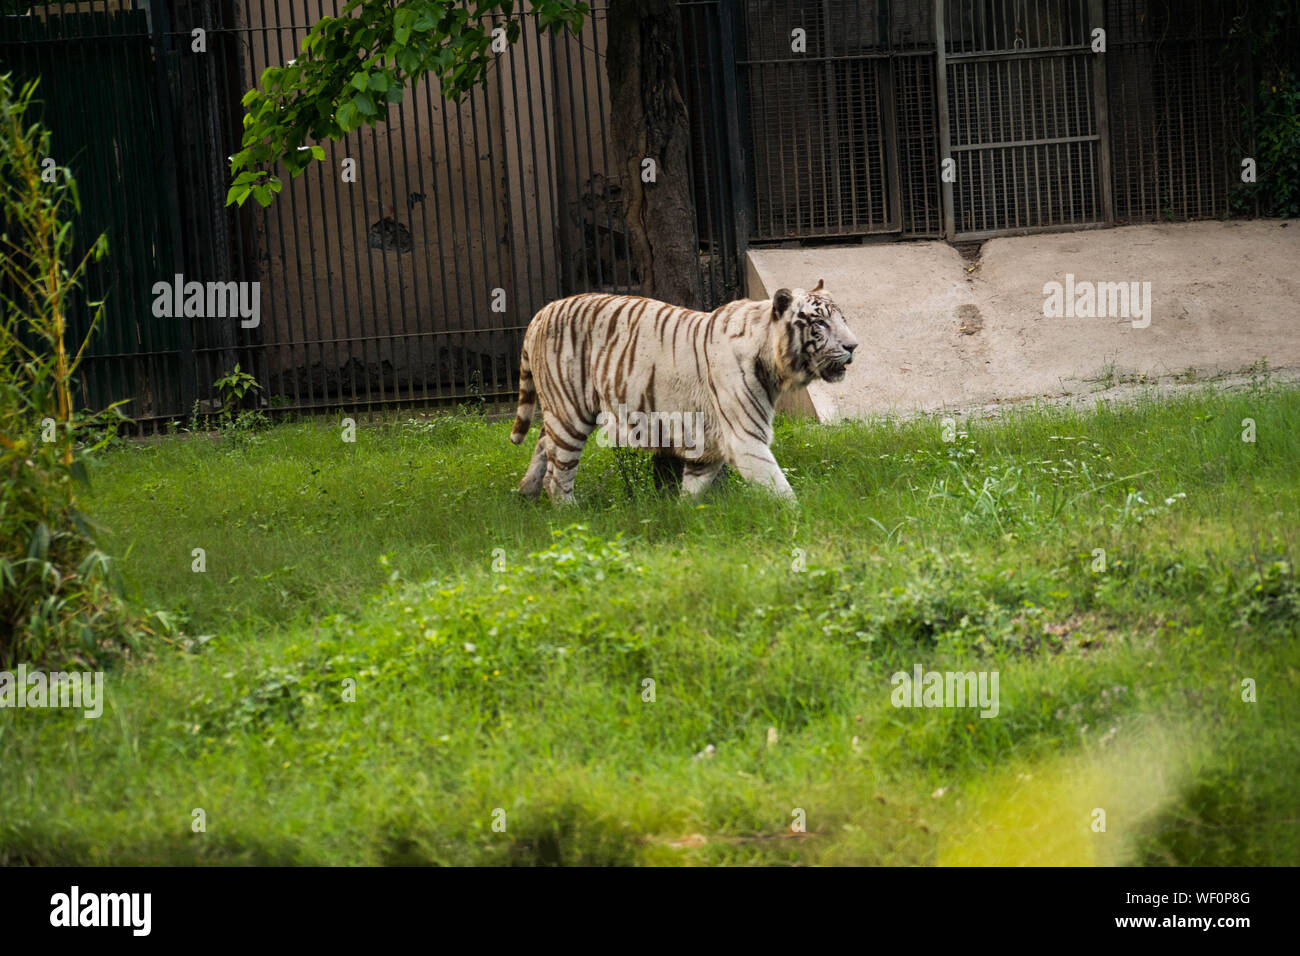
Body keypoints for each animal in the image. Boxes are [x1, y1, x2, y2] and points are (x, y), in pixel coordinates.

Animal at [509, 280, 863, 504]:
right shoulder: (745, 438)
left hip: (562, 409)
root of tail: (542, 311)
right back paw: (568, 516)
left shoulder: (709, 444)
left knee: (542, 445)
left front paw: (685, 516)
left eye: (843, 319)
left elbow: (693, 487)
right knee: (558, 475)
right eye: (819, 323)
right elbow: (779, 487)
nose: (853, 346)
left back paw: (525, 494)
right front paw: (799, 521)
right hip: (571, 410)